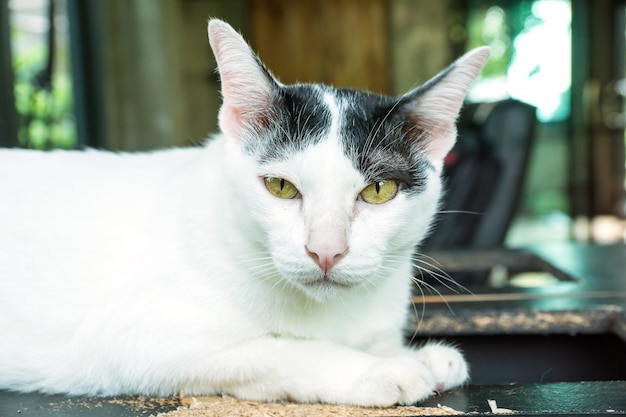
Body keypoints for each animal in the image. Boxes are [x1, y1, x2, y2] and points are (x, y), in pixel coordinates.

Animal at [0, 19, 488, 406]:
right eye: (281, 187)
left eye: (378, 190)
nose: (325, 251)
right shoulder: (138, 342)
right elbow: (282, 348)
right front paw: (380, 368)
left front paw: (414, 355)